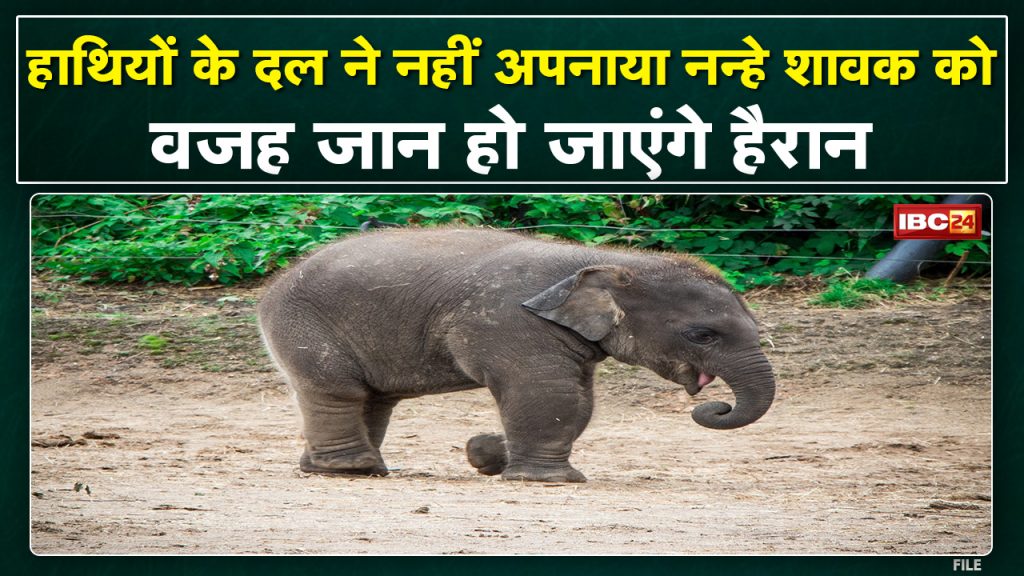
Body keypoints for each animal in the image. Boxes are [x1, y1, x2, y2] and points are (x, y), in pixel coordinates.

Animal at [258, 228, 775, 482]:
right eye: (702, 335)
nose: (715, 406)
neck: (611, 260)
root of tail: (275, 283)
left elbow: (580, 401)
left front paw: (487, 454)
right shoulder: (510, 321)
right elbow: (548, 394)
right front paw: (547, 480)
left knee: (374, 399)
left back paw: (342, 468)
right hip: (304, 325)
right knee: (337, 390)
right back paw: (351, 471)